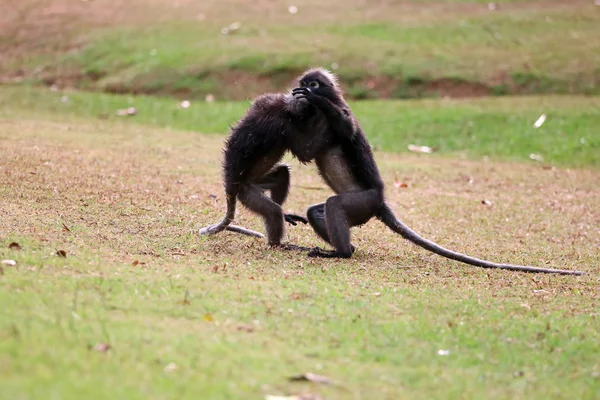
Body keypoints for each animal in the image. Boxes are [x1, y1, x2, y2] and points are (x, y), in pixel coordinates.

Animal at [288, 69, 584, 276]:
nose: (306, 89)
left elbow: (345, 130)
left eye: (313, 84)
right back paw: (344, 249)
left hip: (364, 201)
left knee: (335, 204)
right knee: (317, 211)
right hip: (362, 210)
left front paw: (315, 99)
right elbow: (305, 152)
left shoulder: (338, 112)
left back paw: (341, 253)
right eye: (306, 81)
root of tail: (381, 201)